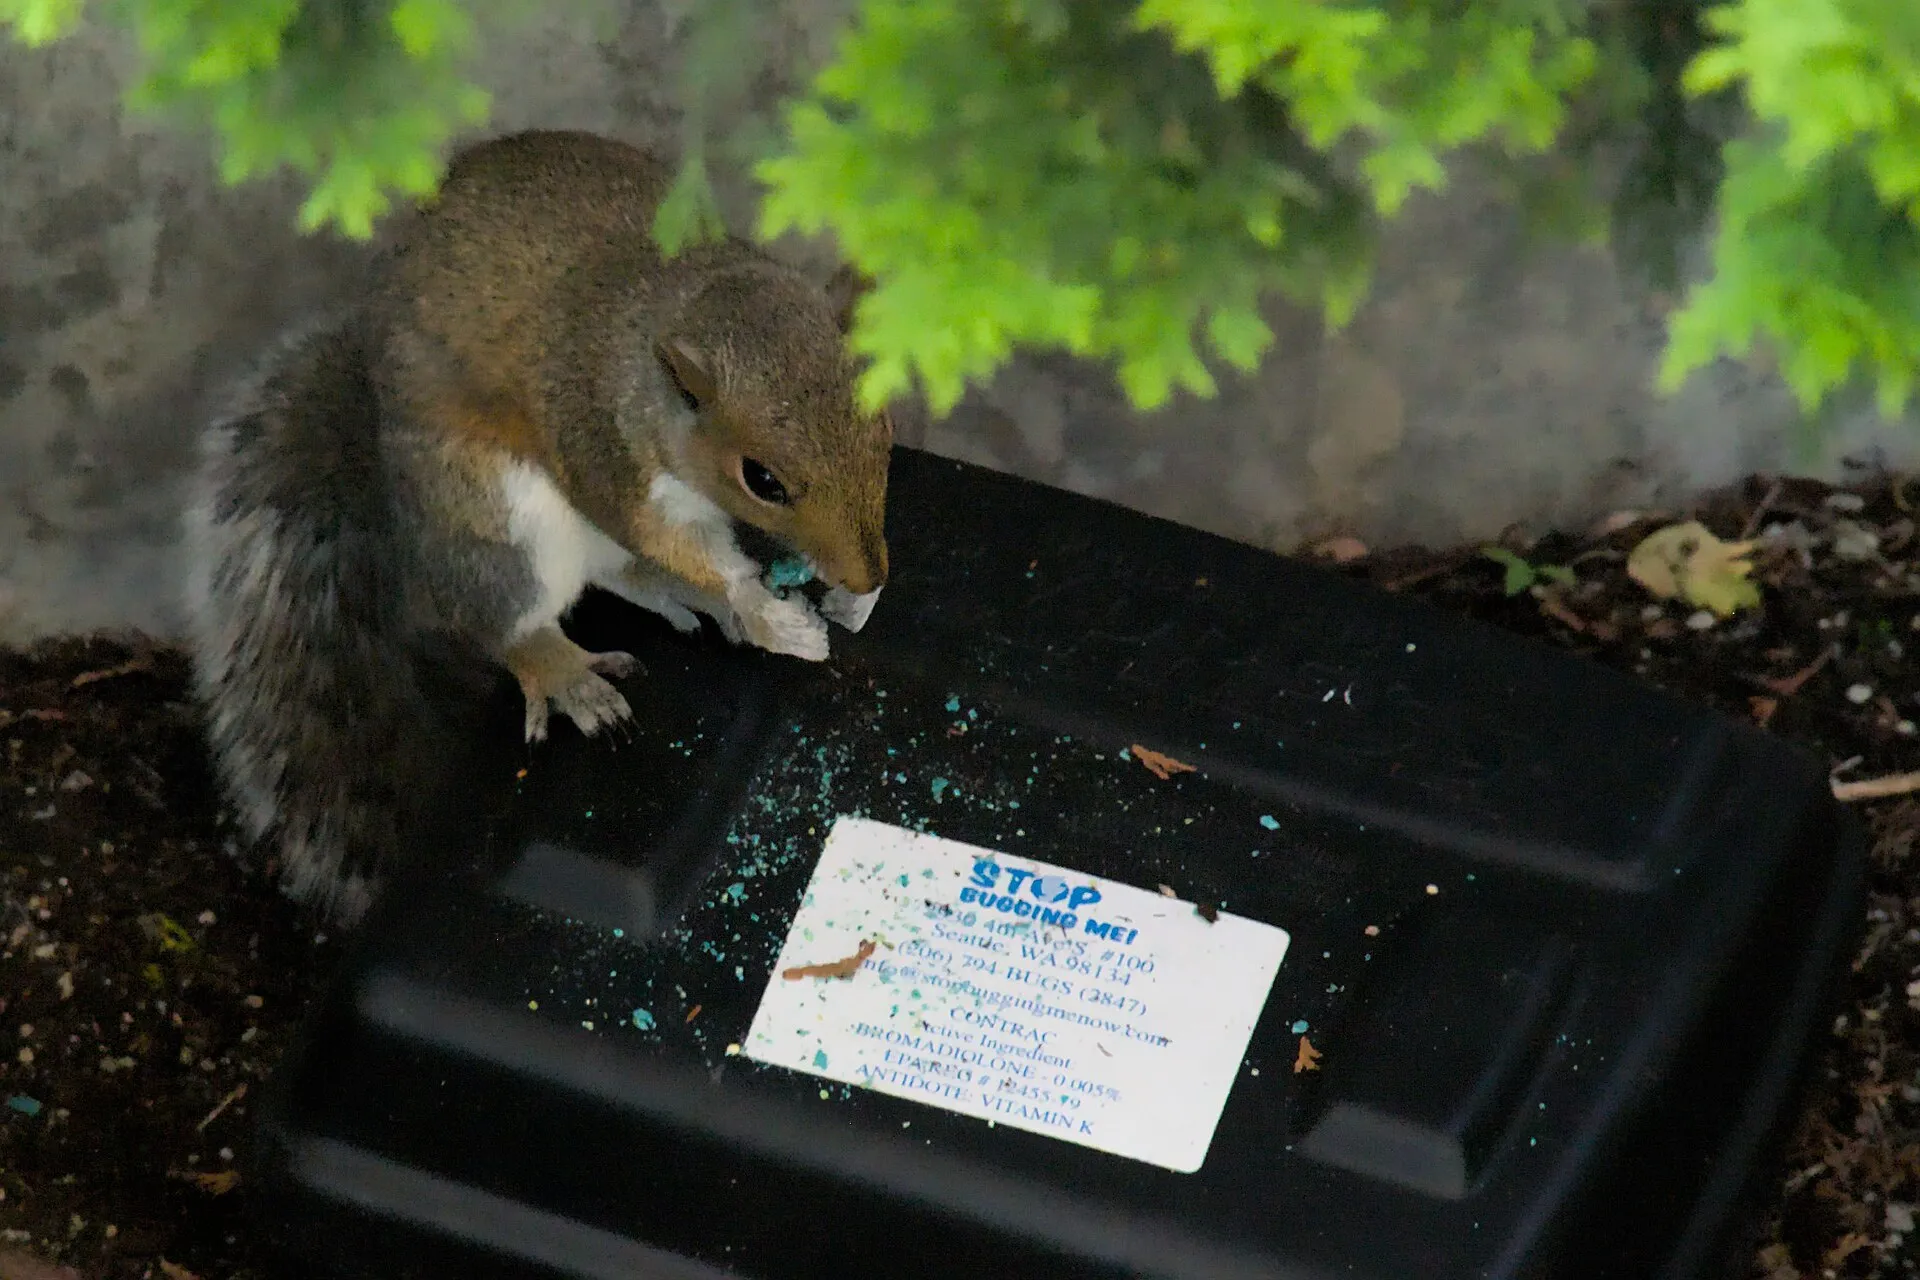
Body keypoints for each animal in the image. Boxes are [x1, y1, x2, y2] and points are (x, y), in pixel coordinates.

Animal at [182, 129, 893, 926]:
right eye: (762, 479)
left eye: (886, 425)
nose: (869, 572)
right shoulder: (604, 453)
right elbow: (671, 539)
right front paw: (766, 612)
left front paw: (842, 600)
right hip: (504, 522)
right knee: (504, 622)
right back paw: (567, 673)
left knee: (620, 571)